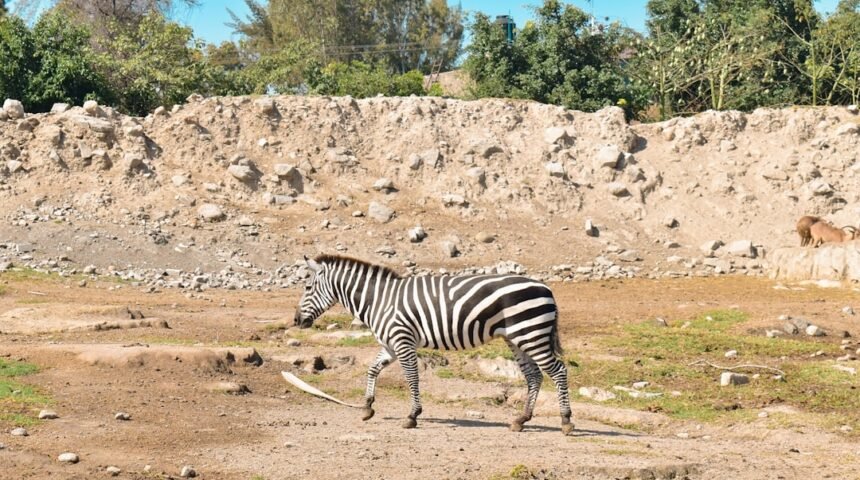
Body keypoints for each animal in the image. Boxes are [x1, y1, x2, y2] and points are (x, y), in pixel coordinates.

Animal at [294, 254, 573, 435]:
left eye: (307, 287)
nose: (296, 320)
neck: (379, 300)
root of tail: (546, 288)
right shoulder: (391, 344)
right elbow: (372, 369)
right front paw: (367, 407)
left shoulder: (402, 340)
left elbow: (412, 378)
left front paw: (412, 415)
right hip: (517, 338)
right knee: (534, 376)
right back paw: (521, 420)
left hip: (530, 334)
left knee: (559, 371)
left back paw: (566, 421)